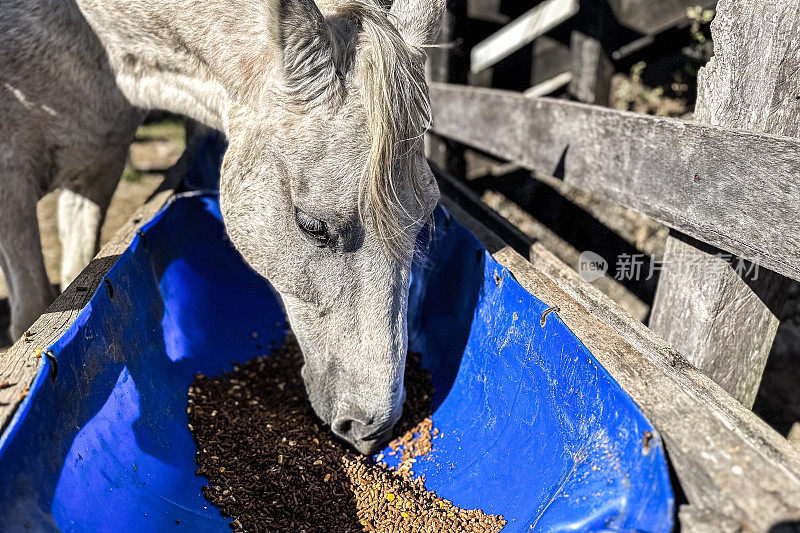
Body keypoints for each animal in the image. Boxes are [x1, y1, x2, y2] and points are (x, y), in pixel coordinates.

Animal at [1, 0, 444, 454]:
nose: (375, 428)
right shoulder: (11, 179)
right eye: (312, 226)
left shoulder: (96, 171)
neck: (90, 35)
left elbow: (78, 277)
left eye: (425, 218)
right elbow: (34, 311)